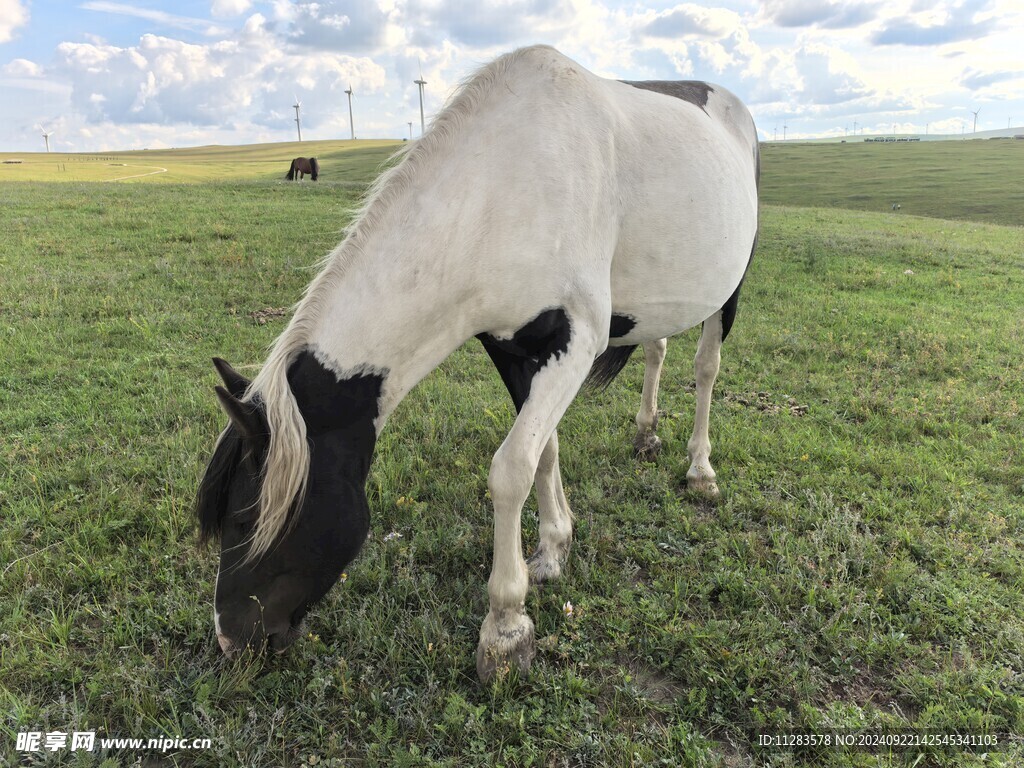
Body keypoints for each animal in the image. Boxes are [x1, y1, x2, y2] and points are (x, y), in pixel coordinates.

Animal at [199, 45, 761, 684]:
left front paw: (507, 625)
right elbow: (545, 450)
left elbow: (512, 468)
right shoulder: (512, 347)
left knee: (707, 369)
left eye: (247, 519)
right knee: (658, 348)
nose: (230, 641)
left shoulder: (577, 342)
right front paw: (553, 548)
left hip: (729, 291)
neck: (504, 188)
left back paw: (700, 470)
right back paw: (646, 434)